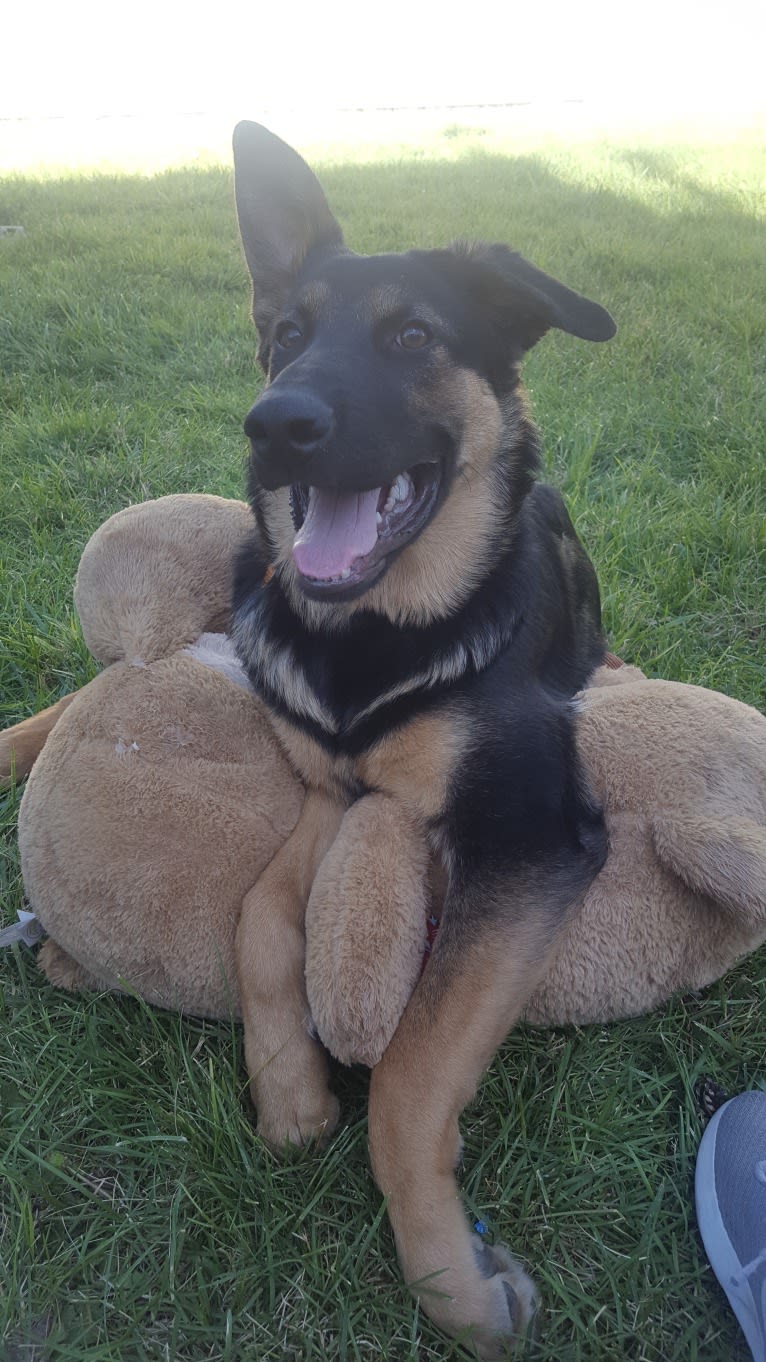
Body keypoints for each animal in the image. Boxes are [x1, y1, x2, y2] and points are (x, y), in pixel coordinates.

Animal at [231, 122, 613, 1356]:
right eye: (286, 339)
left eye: (412, 337)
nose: (277, 425)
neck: (381, 638)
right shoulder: (334, 791)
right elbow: (260, 923)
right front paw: (292, 1093)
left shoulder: (534, 839)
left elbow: (407, 1076)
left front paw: (450, 1279)